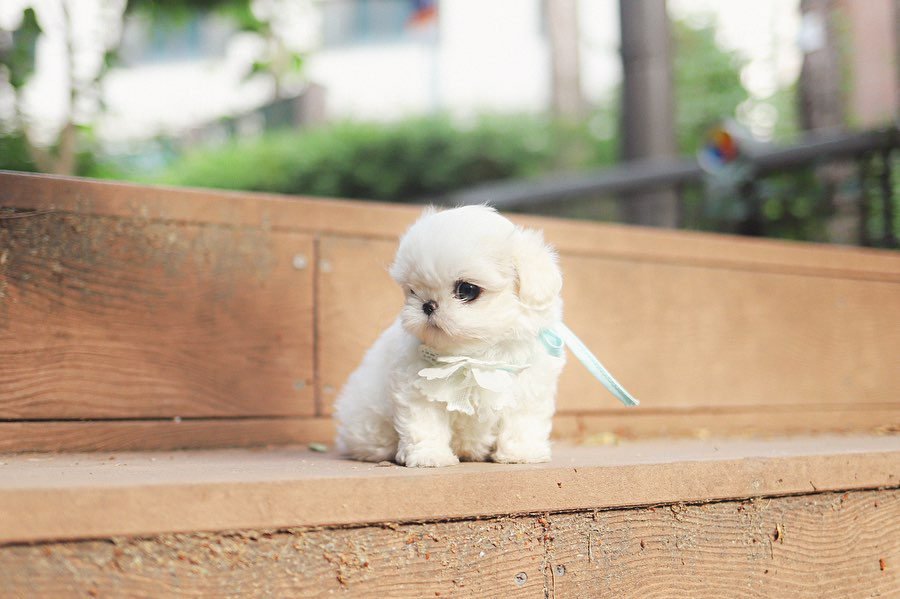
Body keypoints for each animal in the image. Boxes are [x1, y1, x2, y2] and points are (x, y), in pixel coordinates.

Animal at [334, 205, 565, 467]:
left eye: (467, 290)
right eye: (412, 291)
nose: (427, 305)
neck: (475, 357)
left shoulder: (529, 389)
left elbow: (522, 423)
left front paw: (522, 454)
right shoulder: (416, 389)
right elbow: (425, 424)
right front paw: (430, 456)